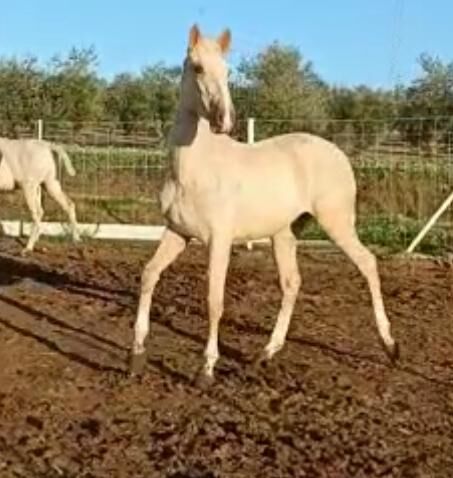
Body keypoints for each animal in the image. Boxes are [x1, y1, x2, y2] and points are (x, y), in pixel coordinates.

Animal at [129, 25, 398, 384]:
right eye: (197, 67)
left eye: (228, 71)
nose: (225, 121)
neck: (194, 169)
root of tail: (339, 154)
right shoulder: (177, 233)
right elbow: (149, 275)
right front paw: (136, 356)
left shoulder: (219, 241)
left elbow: (214, 301)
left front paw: (206, 369)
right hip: (285, 234)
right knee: (292, 283)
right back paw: (266, 353)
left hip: (337, 223)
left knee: (368, 263)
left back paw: (391, 346)